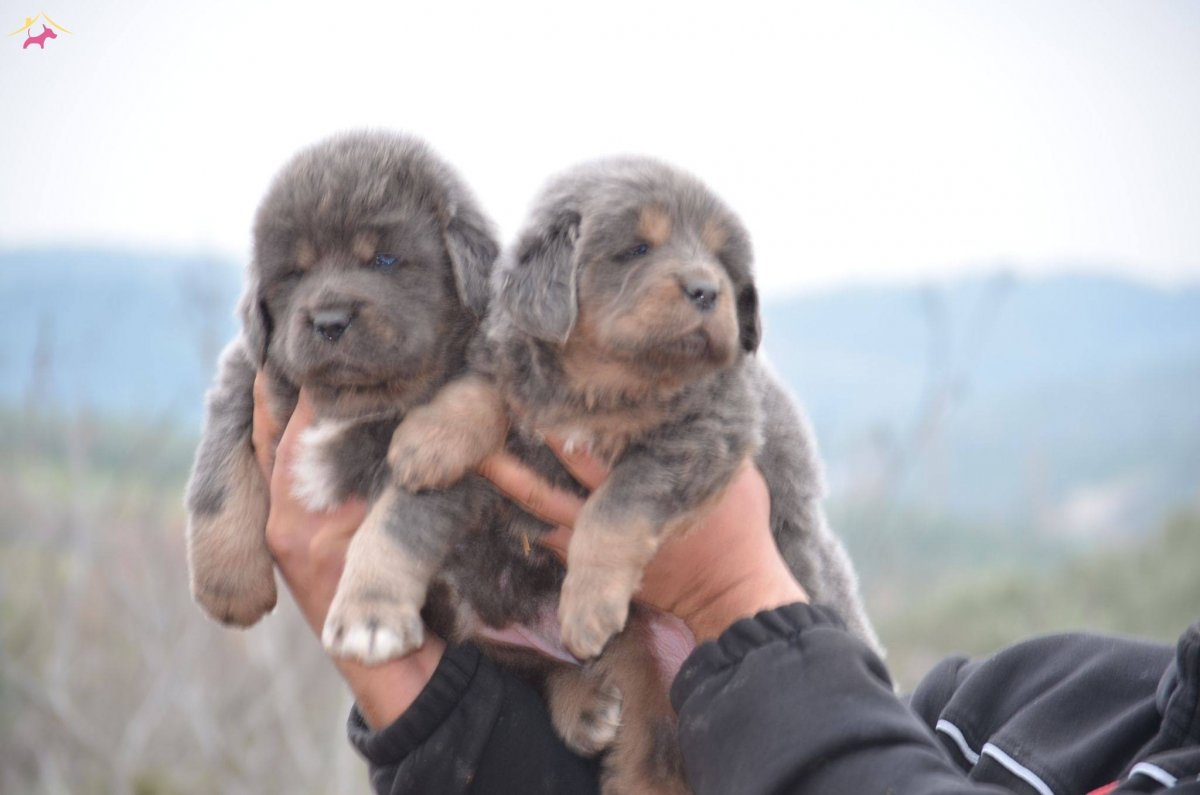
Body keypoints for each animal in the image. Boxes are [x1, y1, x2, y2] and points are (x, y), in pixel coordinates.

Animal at [183, 130, 496, 662]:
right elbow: (218, 478)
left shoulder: (432, 463)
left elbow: (393, 531)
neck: (351, 398)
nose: (330, 322)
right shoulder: (243, 380)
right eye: (295, 272)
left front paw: (370, 618)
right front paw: (230, 586)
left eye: (384, 259)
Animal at [393, 158, 883, 792]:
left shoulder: (704, 434)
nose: (706, 290)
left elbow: (616, 504)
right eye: (637, 249)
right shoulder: (522, 371)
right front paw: (430, 439)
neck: (609, 385)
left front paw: (588, 601)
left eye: (723, 262)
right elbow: (484, 389)